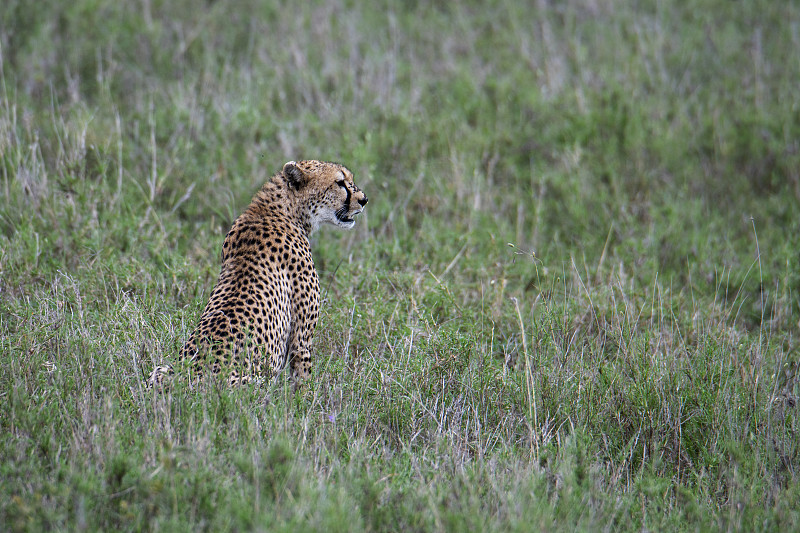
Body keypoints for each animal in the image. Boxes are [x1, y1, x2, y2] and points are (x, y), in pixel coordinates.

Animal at [150, 158, 368, 386]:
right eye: (340, 183)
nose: (364, 200)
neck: (279, 211)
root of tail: (194, 380)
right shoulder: (301, 340)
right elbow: (303, 381)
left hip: (160, 371)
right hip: (258, 381)